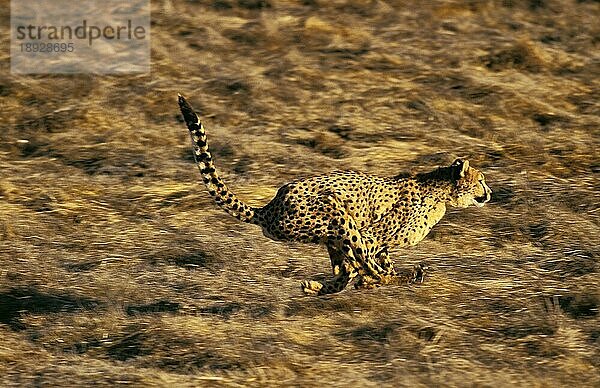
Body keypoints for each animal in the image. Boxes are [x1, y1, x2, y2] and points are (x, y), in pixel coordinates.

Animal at [177, 95, 492, 296]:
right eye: (481, 180)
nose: (490, 192)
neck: (443, 193)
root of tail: (269, 208)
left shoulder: (376, 244)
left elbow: (357, 267)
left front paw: (330, 285)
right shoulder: (369, 235)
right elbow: (364, 265)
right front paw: (378, 279)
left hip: (328, 234)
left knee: (344, 270)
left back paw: (318, 288)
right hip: (334, 211)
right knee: (362, 266)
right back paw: (401, 277)